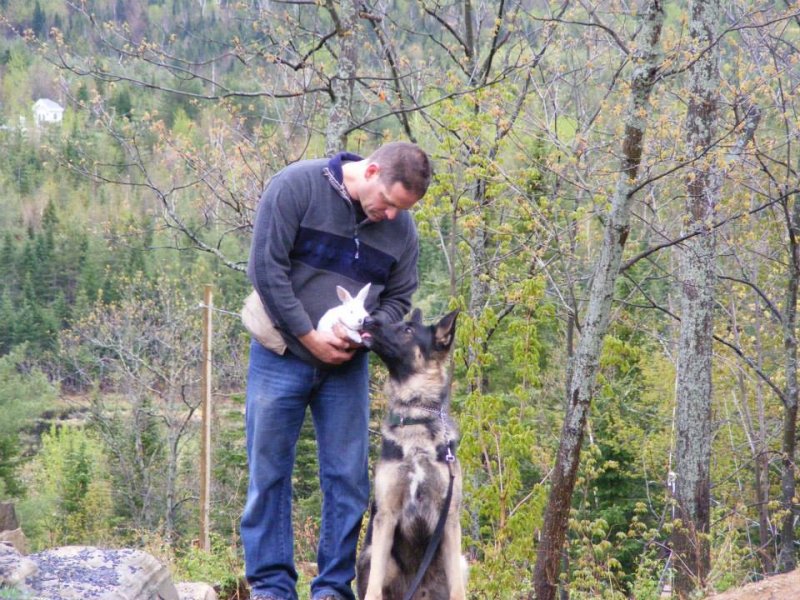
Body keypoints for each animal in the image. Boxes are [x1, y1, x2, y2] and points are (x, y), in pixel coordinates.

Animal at [357, 308, 466, 600]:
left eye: (407, 330)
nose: (367, 319)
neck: (415, 417)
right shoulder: (386, 516)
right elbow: (373, 589)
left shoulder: (449, 519)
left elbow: (458, 590)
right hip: (371, 556)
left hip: (462, 562)